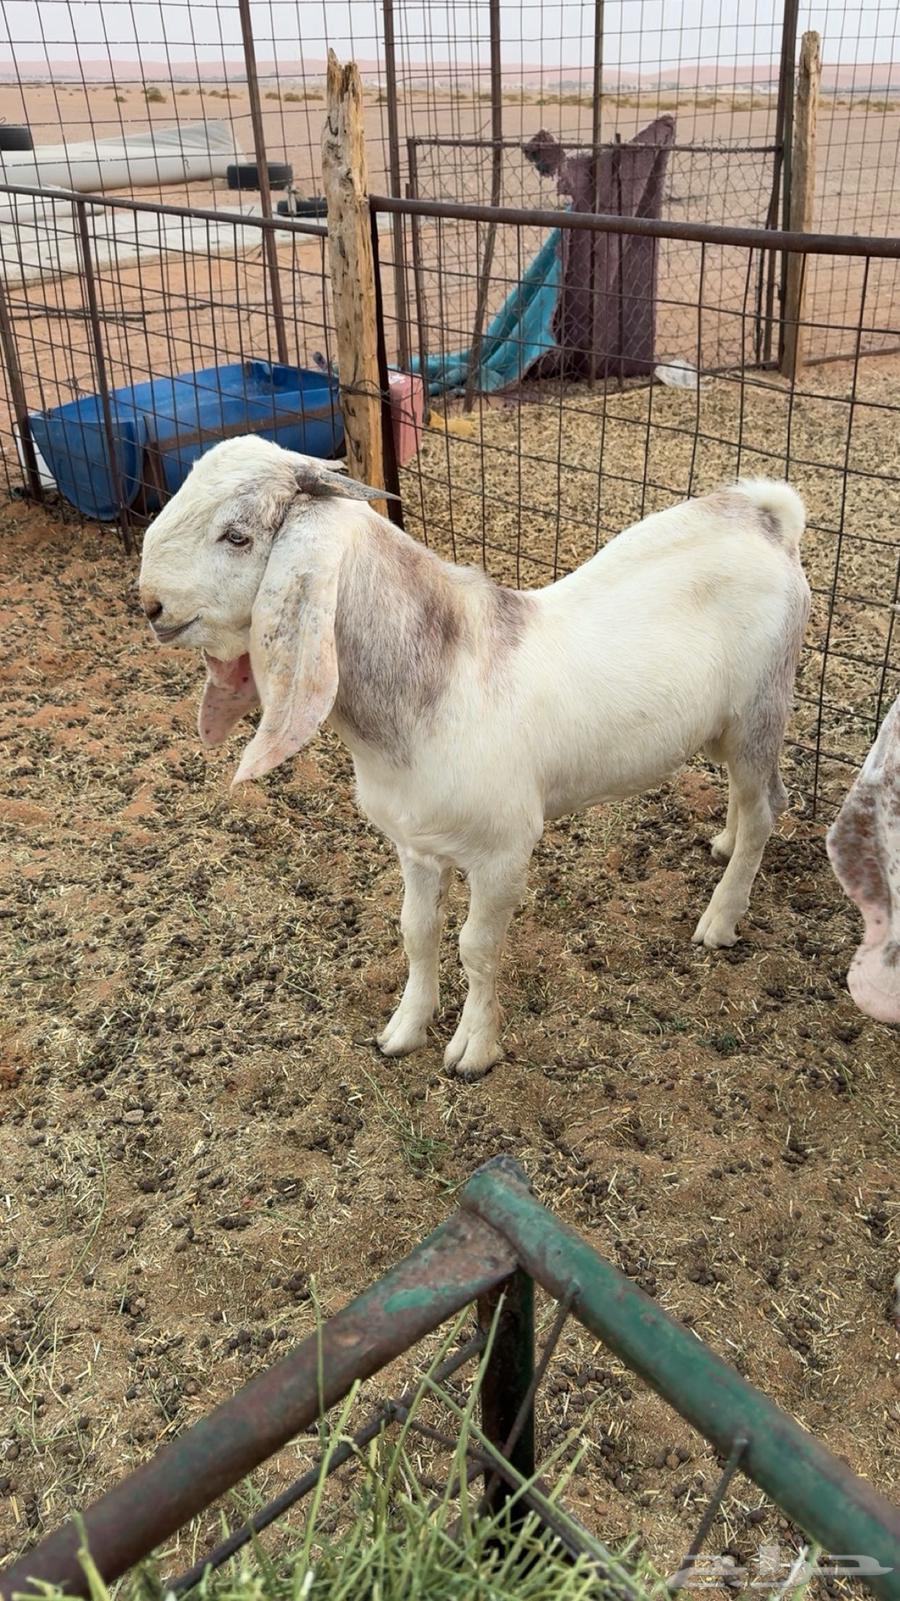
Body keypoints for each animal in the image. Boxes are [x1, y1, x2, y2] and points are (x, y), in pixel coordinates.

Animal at [138, 437, 810, 1078]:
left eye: (237, 536)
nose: (149, 605)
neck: (437, 680)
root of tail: (766, 518)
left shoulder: (503, 851)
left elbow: (477, 948)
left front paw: (473, 1050)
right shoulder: (414, 845)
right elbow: (417, 932)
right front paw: (404, 1029)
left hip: (761, 709)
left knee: (767, 808)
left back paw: (721, 916)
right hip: (725, 728)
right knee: (750, 797)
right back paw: (724, 845)